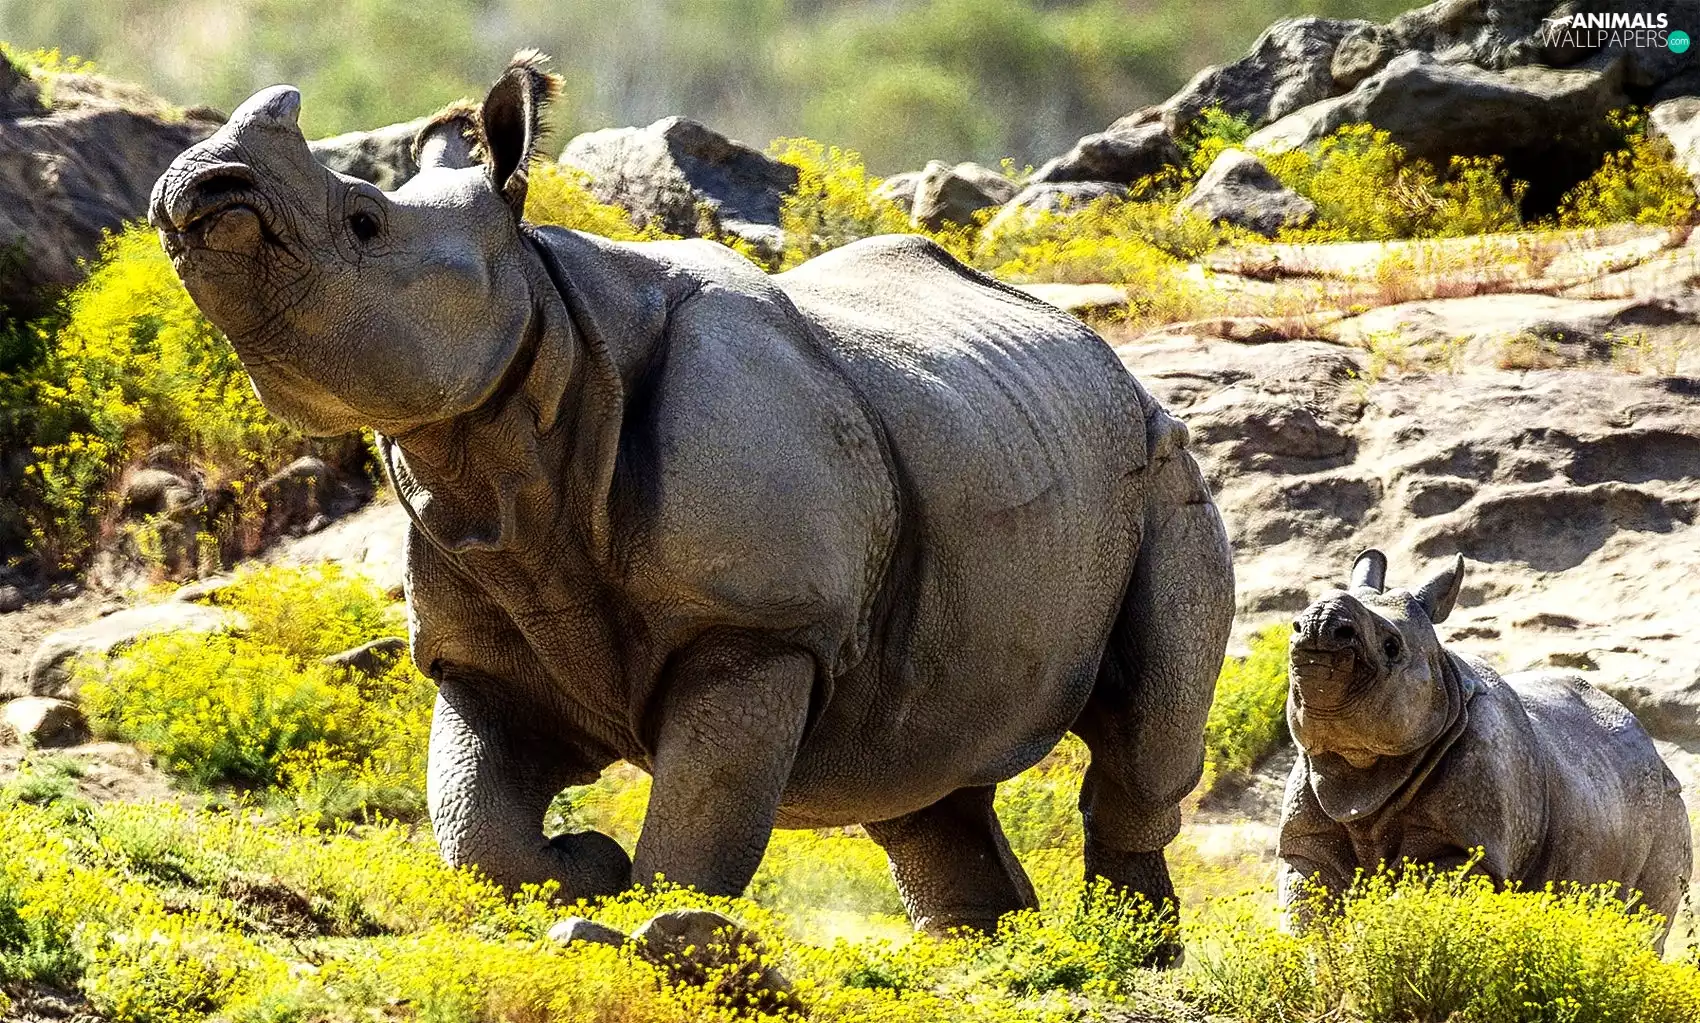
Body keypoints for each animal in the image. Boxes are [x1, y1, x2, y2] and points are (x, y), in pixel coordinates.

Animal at [147, 53, 1235, 940]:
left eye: (363, 222)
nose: (198, 189)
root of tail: (1111, 361)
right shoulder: (482, 641)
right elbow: (475, 827)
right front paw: (580, 867)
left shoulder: (756, 629)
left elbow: (700, 817)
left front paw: (640, 919)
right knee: (917, 769)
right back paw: (991, 947)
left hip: (1165, 467)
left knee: (1138, 736)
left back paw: (1123, 950)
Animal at [1279, 549, 1691, 944]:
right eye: (1295, 629)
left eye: (1392, 647)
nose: (1317, 625)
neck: (1360, 763)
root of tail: (1657, 753)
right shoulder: (1307, 840)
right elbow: (1309, 919)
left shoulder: (1465, 843)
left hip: (1667, 808)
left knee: (1644, 923)